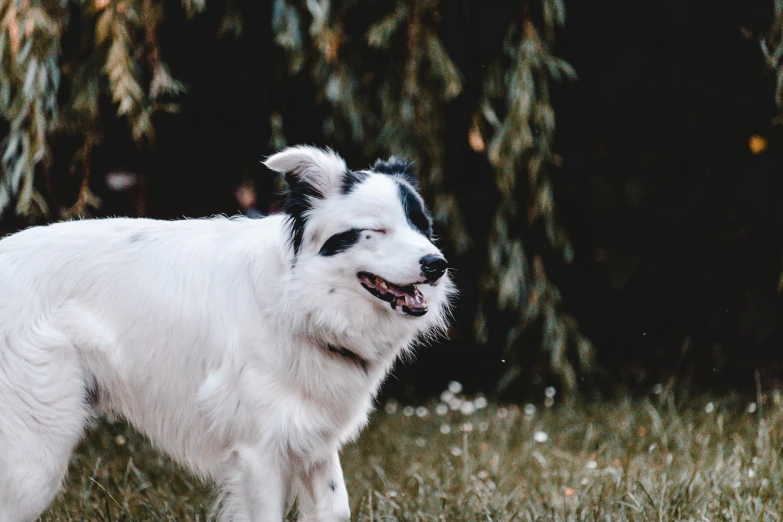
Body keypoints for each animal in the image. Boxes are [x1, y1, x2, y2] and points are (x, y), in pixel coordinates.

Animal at [0, 145, 454, 520]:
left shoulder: (312, 440)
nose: (437, 265)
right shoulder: (259, 453)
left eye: (421, 226)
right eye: (374, 231)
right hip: (35, 454)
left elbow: (335, 507)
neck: (295, 301)